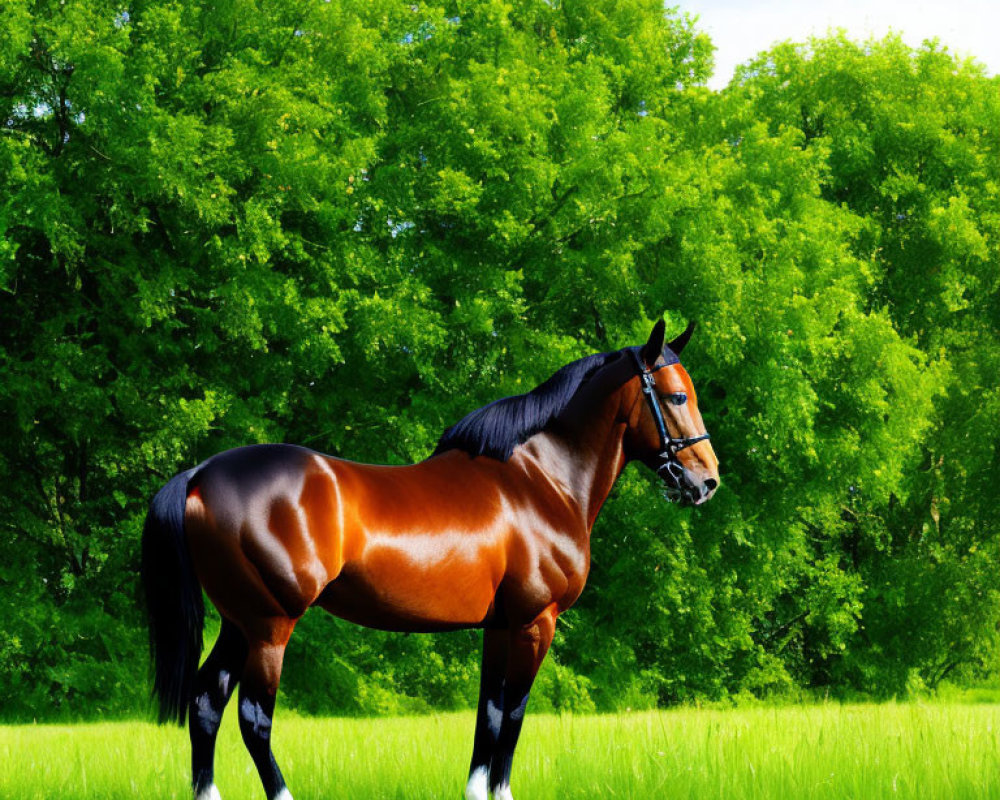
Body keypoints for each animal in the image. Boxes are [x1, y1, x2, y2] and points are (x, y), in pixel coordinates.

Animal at [141, 318, 720, 800]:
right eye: (675, 395)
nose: (706, 481)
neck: (539, 481)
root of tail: (200, 474)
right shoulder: (536, 622)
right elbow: (514, 715)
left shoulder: (500, 626)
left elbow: (489, 717)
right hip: (269, 625)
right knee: (253, 719)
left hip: (238, 622)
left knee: (206, 704)